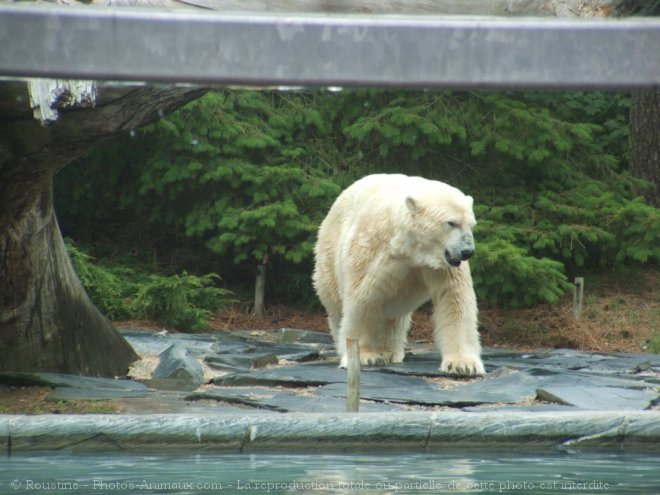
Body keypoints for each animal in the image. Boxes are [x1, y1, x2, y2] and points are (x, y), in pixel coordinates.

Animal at [312, 174, 482, 376]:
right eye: (451, 223)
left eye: (471, 225)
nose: (468, 251)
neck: (409, 248)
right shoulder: (373, 252)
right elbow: (363, 299)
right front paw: (364, 356)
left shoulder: (442, 265)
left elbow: (454, 299)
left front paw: (463, 364)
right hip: (329, 252)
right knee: (336, 303)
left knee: (394, 316)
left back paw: (389, 351)